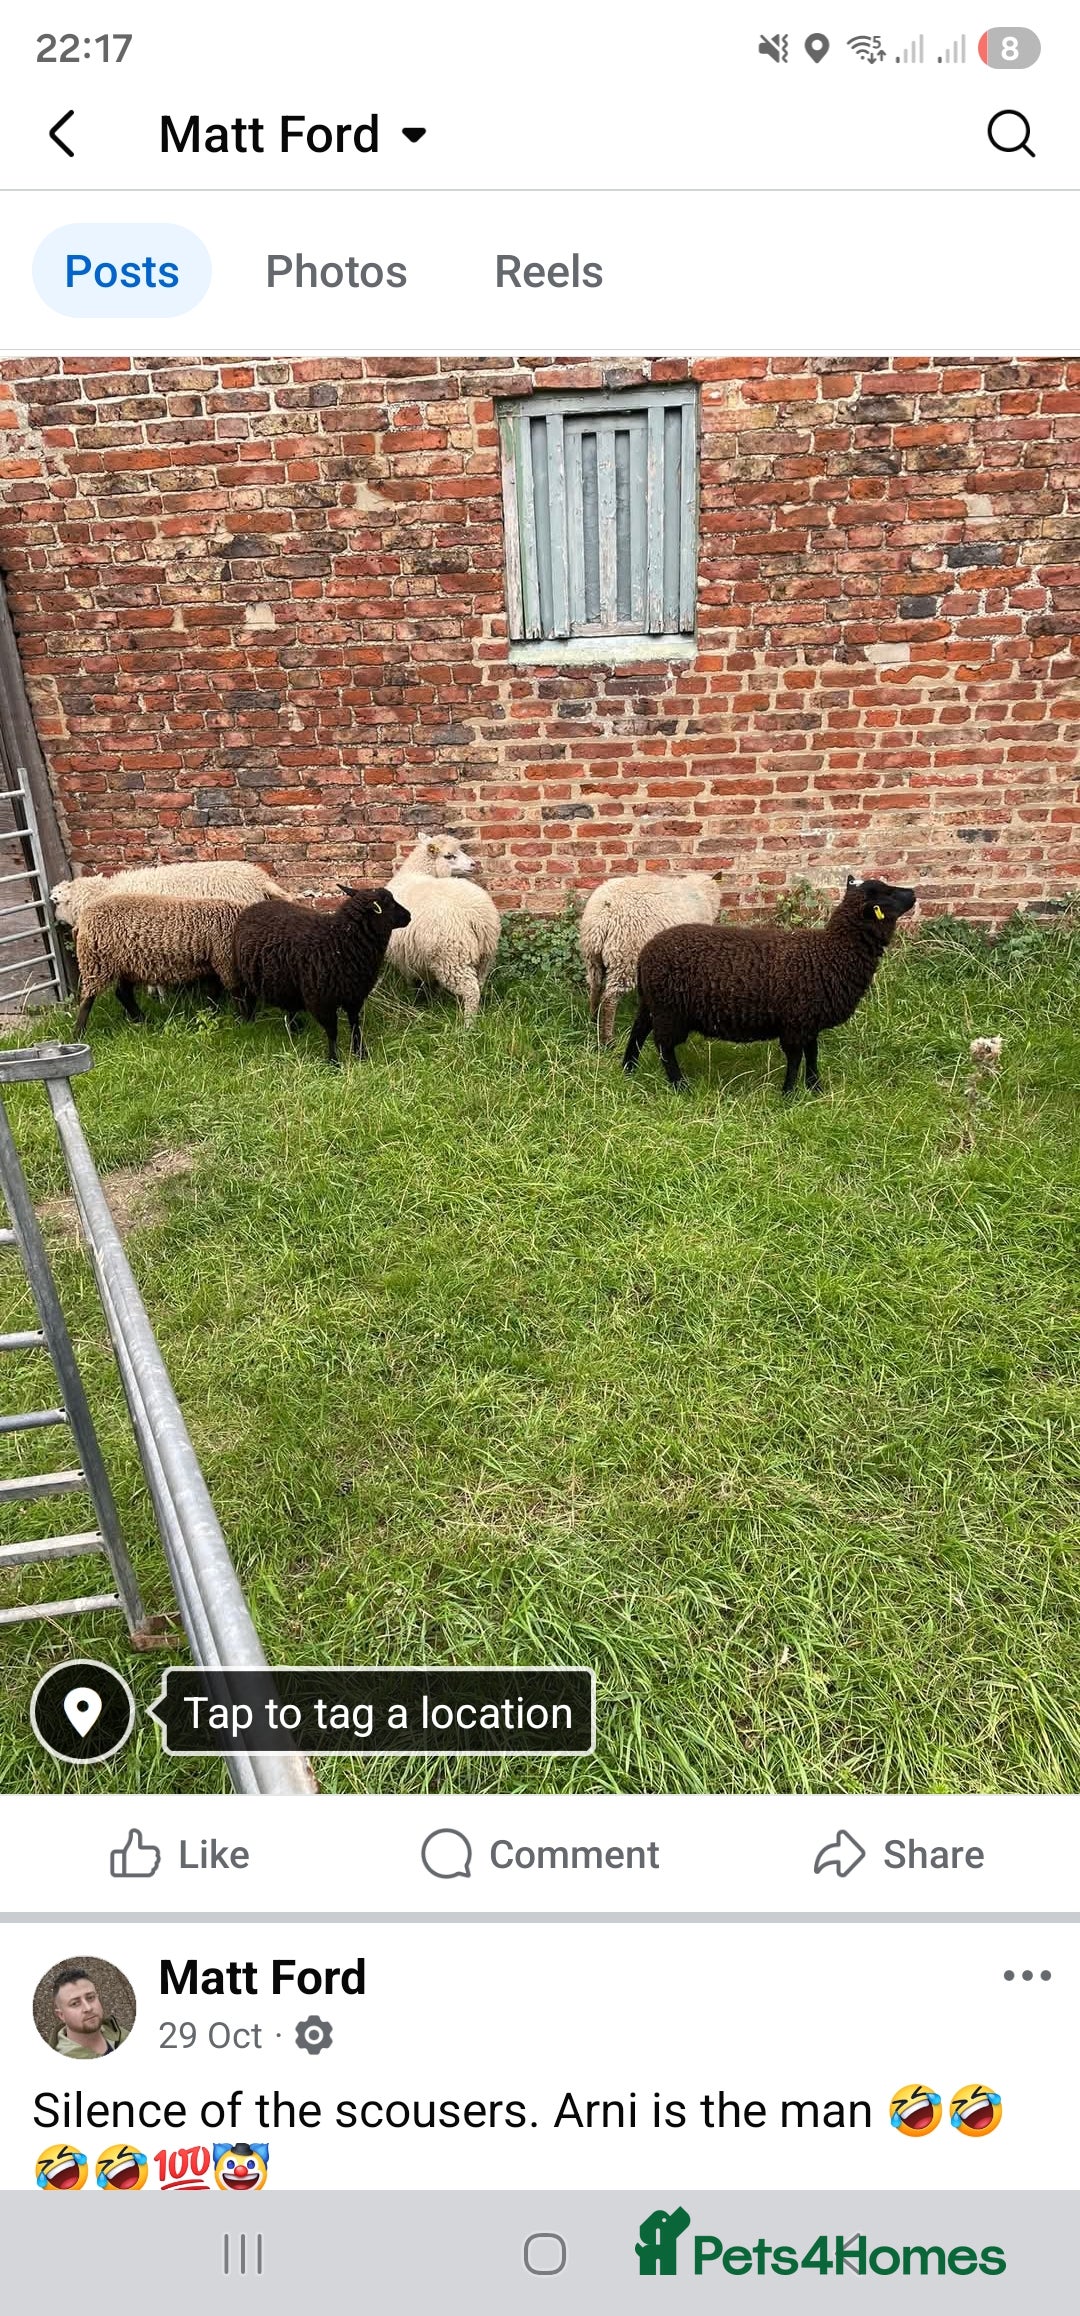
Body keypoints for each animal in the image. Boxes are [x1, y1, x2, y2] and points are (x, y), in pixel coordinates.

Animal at [72, 893, 247, 1037]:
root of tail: (83, 919)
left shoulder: (214, 963)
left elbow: (214, 992)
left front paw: (210, 1014)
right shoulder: (225, 960)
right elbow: (236, 992)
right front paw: (244, 1021)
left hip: (128, 965)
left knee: (123, 993)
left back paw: (143, 1021)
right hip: (96, 962)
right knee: (87, 999)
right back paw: (79, 1034)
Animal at [232, 886, 411, 1067]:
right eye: (389, 903)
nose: (409, 916)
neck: (340, 942)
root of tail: (254, 906)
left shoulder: (355, 996)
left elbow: (355, 1025)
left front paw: (361, 1053)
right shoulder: (321, 1001)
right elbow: (332, 1032)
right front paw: (334, 1061)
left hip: (288, 982)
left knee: (290, 1006)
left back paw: (295, 1028)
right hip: (241, 977)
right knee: (247, 1001)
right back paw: (249, 1024)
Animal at [387, 833, 501, 1021]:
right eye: (449, 856)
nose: (473, 864)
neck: (415, 872)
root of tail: (477, 916)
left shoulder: (405, 956)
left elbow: (413, 981)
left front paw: (417, 1001)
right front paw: (434, 1001)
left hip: (451, 956)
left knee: (471, 991)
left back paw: (468, 1023)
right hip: (484, 956)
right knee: (479, 983)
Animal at [579, 871, 725, 1046]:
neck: (702, 895)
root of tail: (603, 915)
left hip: (592, 957)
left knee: (595, 989)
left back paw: (593, 1021)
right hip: (625, 957)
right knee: (609, 999)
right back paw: (608, 1040)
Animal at [623, 875, 917, 1097]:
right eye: (888, 894)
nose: (914, 892)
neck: (833, 952)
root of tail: (646, 953)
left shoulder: (809, 1021)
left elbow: (812, 1054)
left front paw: (815, 1089)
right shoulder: (796, 1022)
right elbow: (795, 1058)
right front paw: (789, 1095)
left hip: (654, 1003)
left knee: (638, 1032)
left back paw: (628, 1070)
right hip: (670, 1010)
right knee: (664, 1046)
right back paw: (679, 1085)